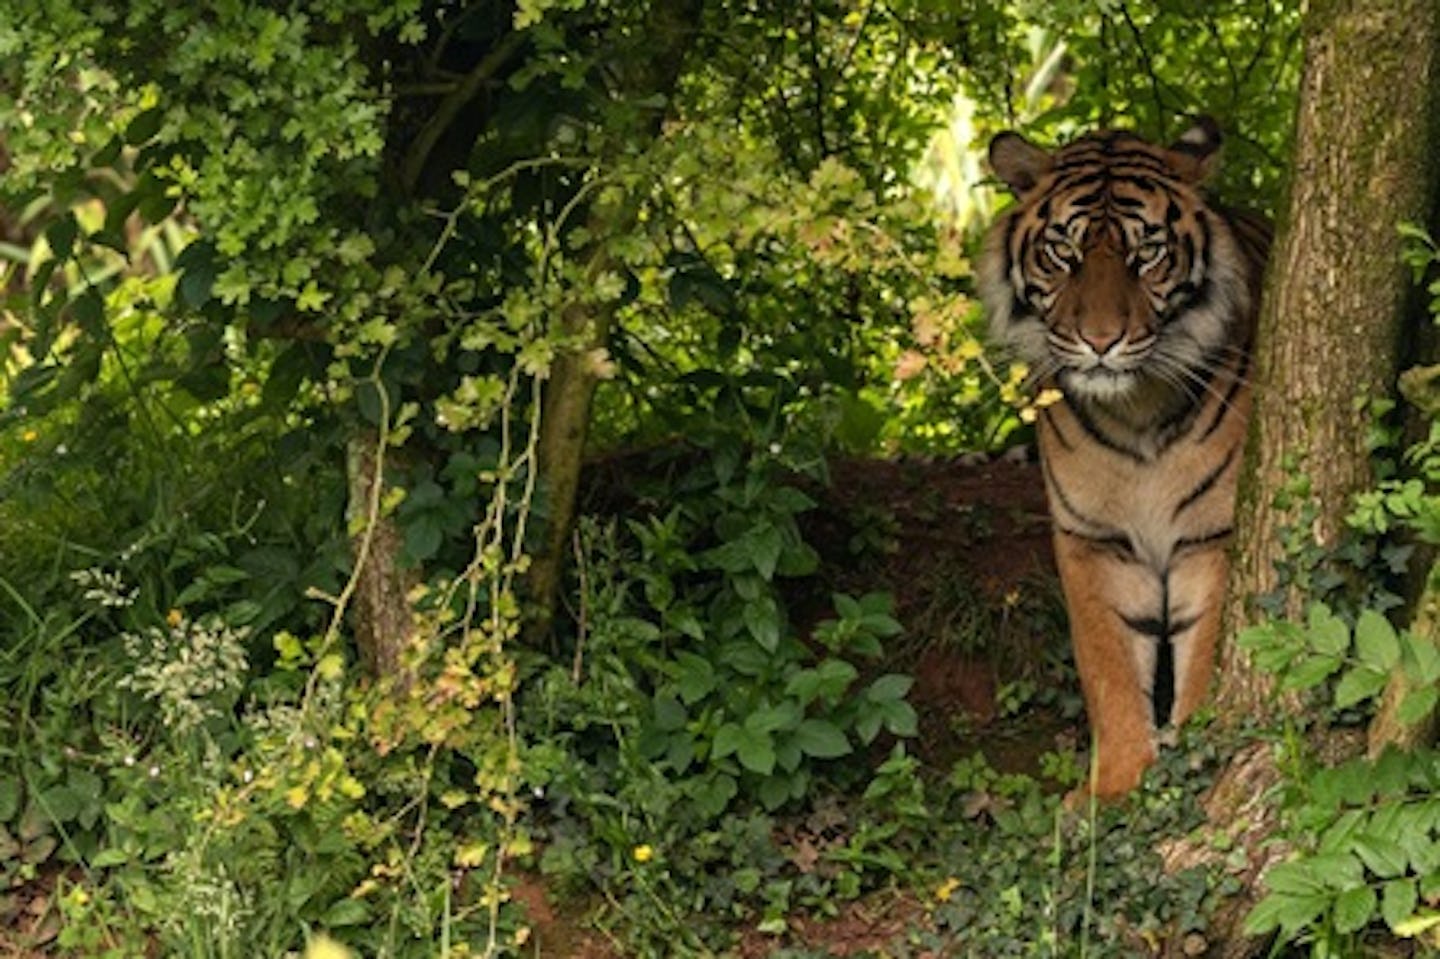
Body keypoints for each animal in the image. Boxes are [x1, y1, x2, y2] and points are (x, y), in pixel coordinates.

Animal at [979, 115, 1272, 794]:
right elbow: (1107, 667)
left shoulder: (1211, 537)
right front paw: (1115, 787)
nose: (1100, 341)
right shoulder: (1095, 541)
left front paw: (1191, 759)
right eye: (1063, 252)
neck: (1136, 412)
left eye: (1148, 254)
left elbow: (1205, 654)